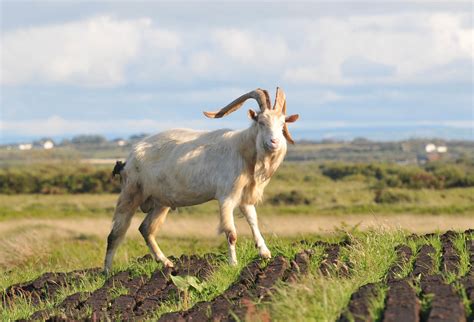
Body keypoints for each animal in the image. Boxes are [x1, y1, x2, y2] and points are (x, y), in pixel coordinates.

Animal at [103, 87, 298, 272]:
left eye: (282, 123)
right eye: (261, 122)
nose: (274, 142)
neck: (242, 149)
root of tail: (128, 160)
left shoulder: (244, 196)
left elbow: (253, 220)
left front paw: (265, 253)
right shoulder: (226, 196)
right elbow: (231, 233)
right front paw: (233, 264)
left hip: (160, 202)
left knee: (146, 229)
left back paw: (166, 262)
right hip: (131, 192)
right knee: (116, 233)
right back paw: (107, 272)